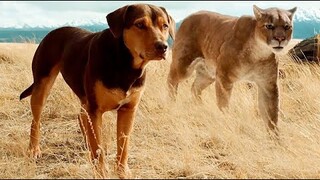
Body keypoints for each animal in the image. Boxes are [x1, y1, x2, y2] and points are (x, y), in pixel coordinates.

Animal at [19, 3, 174, 178]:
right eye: (140, 24)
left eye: (165, 26)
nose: (163, 47)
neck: (126, 65)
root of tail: (53, 31)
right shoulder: (95, 110)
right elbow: (98, 146)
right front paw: (101, 172)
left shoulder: (128, 110)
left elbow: (124, 144)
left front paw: (122, 171)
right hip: (42, 85)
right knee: (36, 120)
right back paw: (34, 149)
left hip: (84, 97)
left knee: (81, 116)